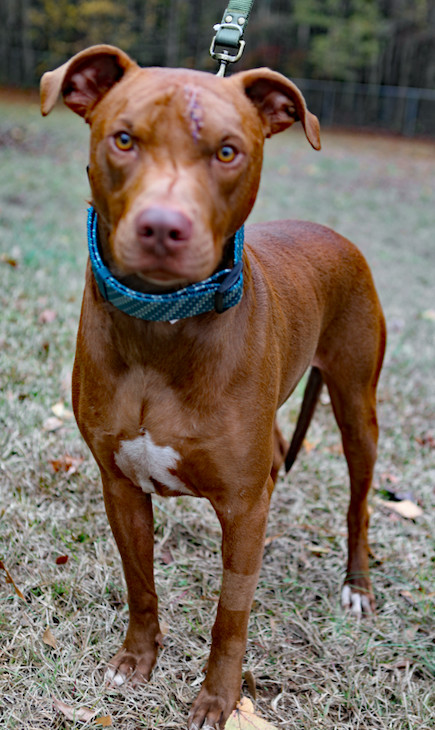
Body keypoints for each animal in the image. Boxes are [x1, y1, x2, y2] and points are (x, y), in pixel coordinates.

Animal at [42, 47, 386, 728]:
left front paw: (219, 701)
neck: (162, 325)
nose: (162, 227)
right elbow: (141, 585)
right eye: (124, 139)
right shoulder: (120, 486)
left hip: (357, 409)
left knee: (358, 504)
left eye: (228, 151)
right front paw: (136, 661)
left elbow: (231, 616)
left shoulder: (244, 508)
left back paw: (356, 586)